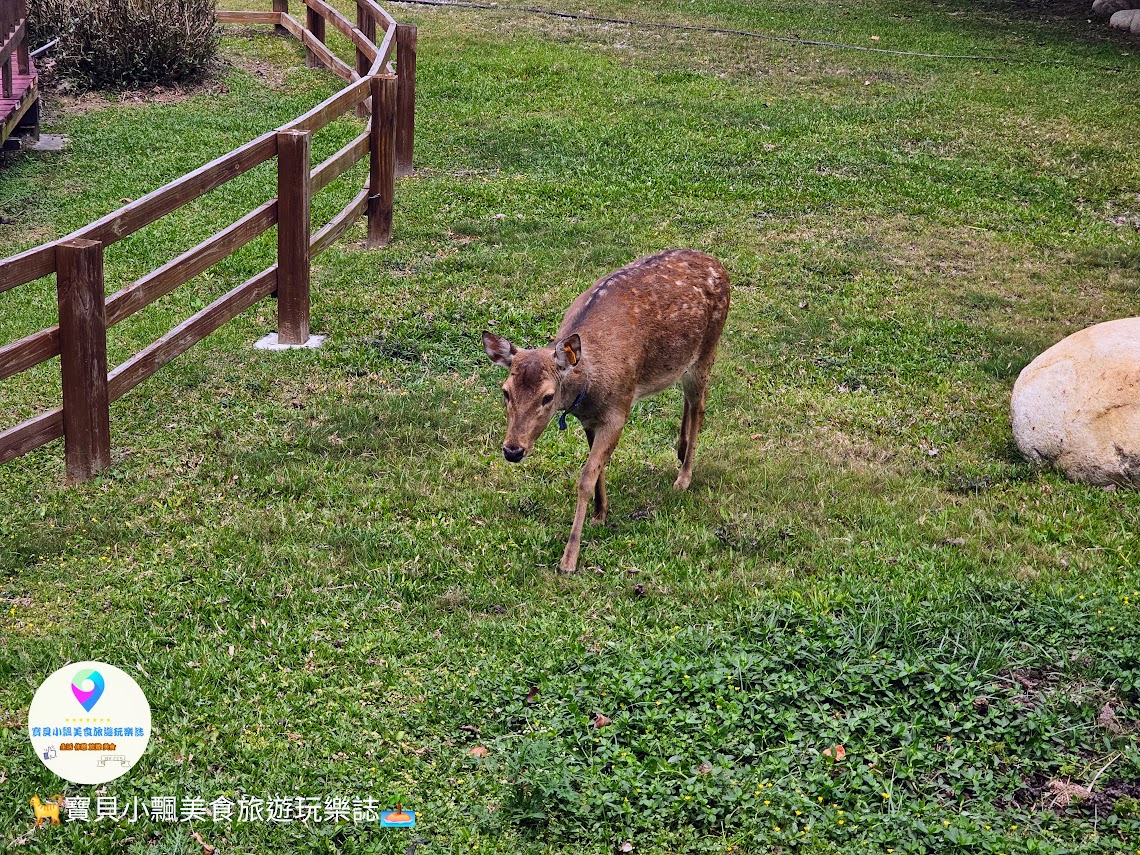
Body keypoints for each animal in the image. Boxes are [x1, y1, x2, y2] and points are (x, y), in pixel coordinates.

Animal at [482, 249, 731, 572]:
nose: (513, 450)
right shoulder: (590, 418)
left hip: (707, 350)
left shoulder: (618, 411)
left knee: (700, 406)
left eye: (548, 397)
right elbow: (597, 469)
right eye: (505, 391)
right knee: (689, 400)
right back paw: (679, 450)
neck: (587, 387)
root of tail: (720, 266)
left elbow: (586, 478)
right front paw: (600, 514)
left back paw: (683, 477)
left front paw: (569, 558)